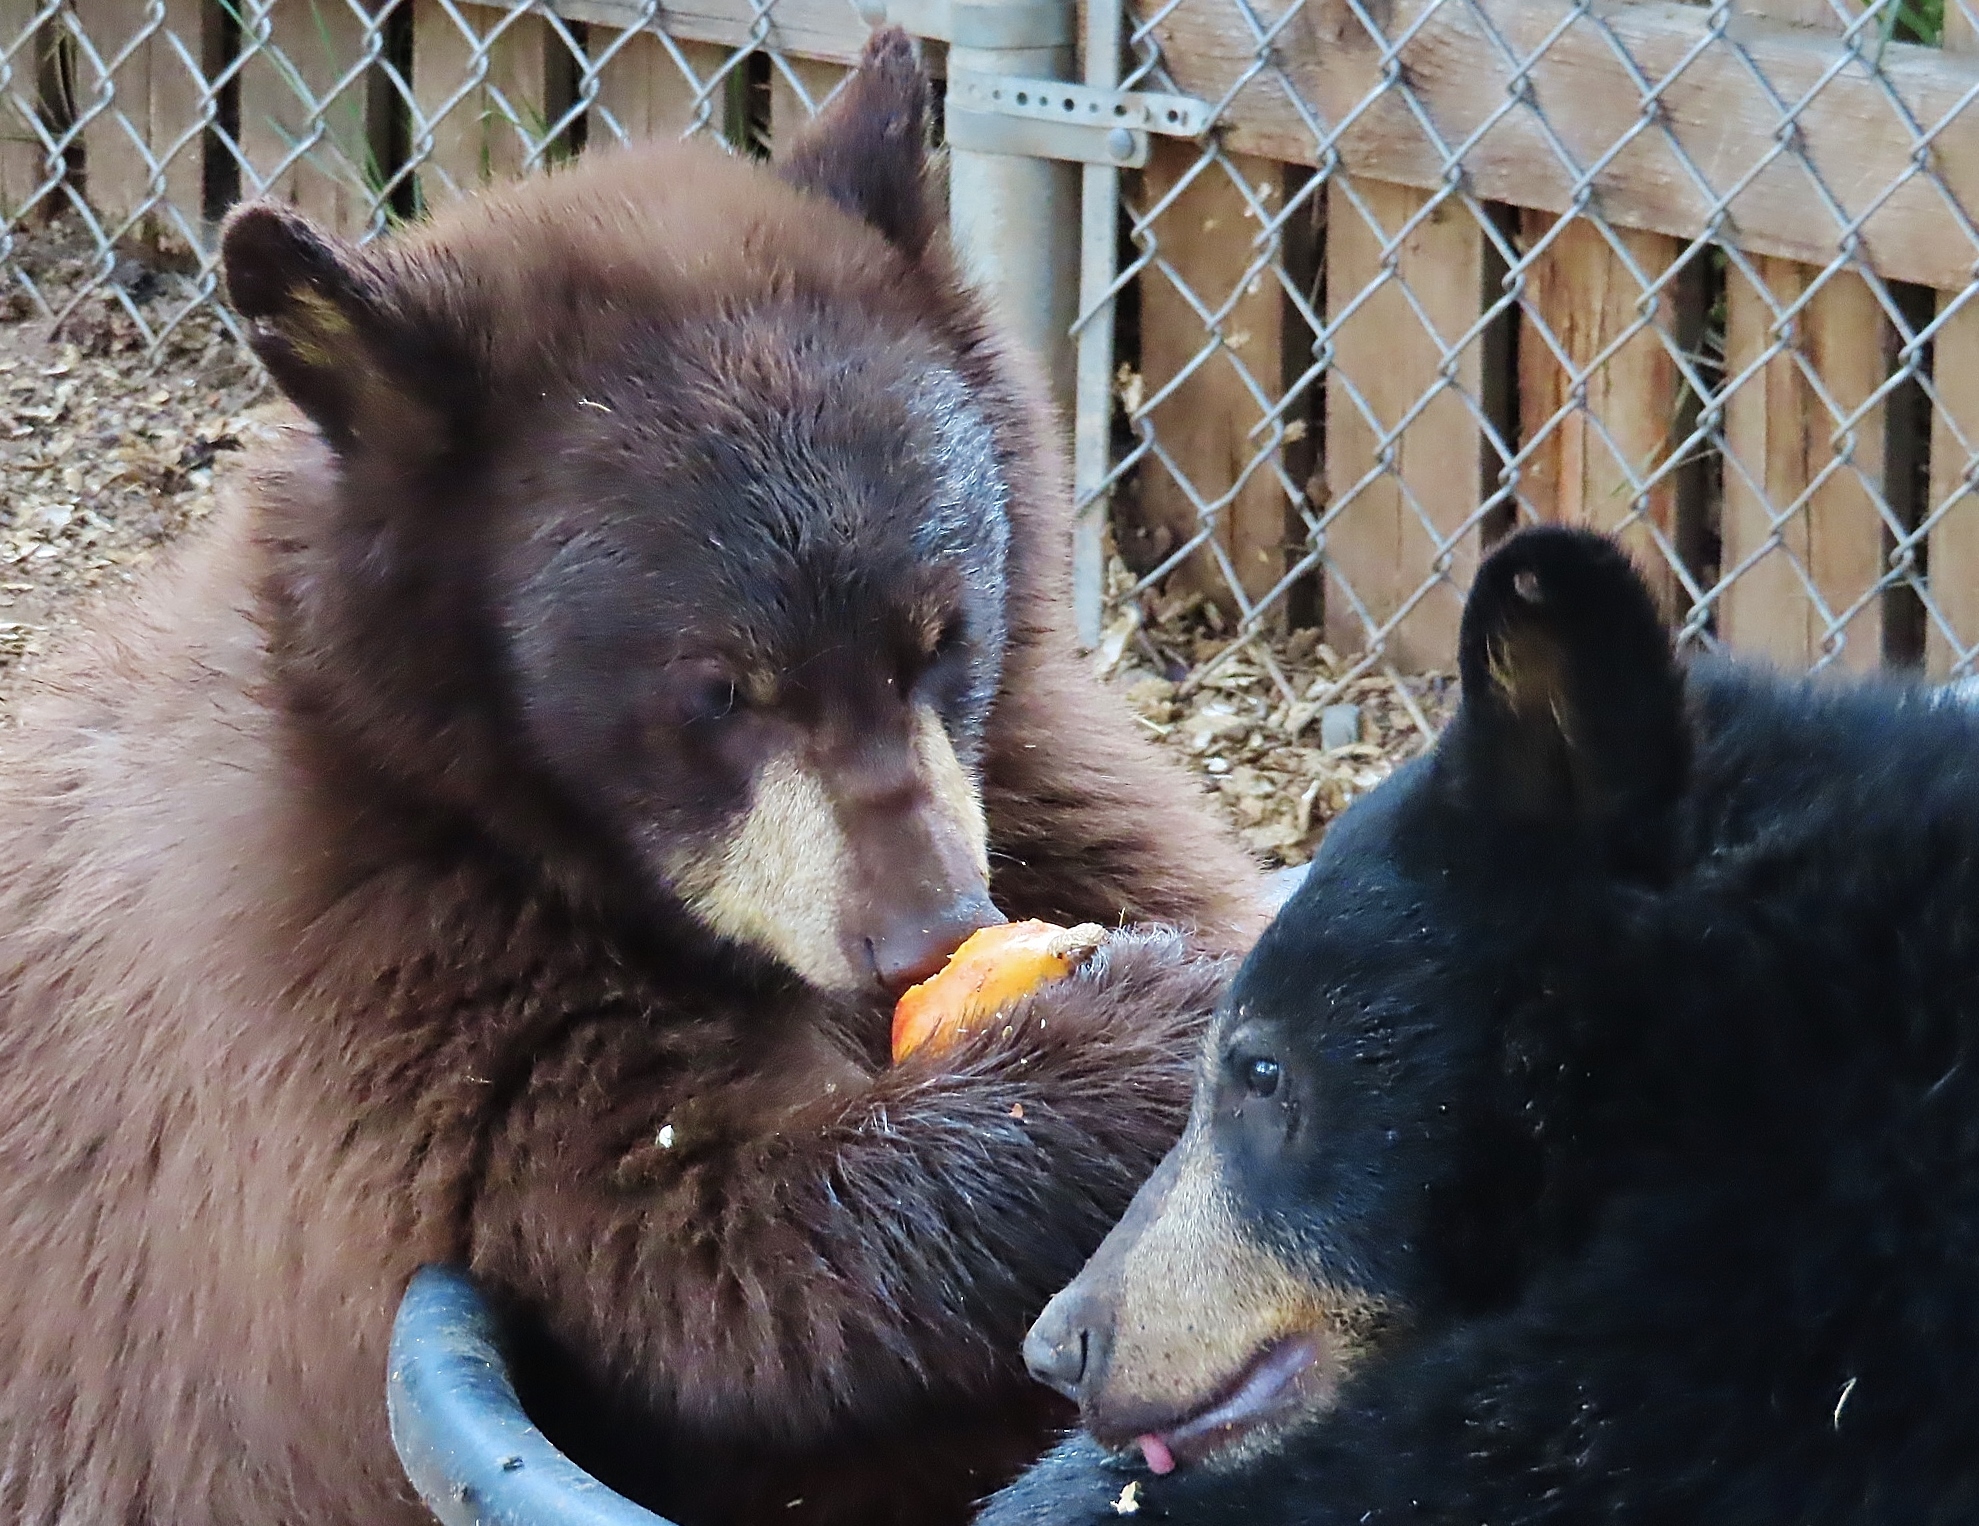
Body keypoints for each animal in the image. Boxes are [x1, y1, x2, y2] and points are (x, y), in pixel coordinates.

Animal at [0, 32, 1269, 1526]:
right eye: (717, 691)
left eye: (940, 632)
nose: (927, 933)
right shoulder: (358, 965)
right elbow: (681, 1245)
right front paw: (1133, 1037)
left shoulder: (1022, 767)